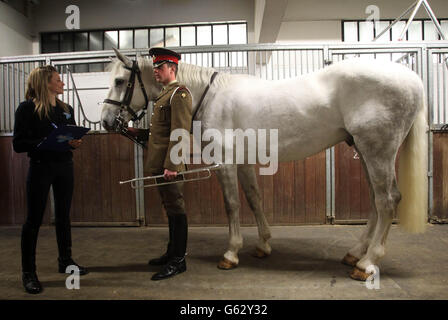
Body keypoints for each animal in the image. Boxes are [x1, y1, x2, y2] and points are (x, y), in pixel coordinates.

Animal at [100, 48, 428, 280]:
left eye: (119, 81)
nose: (106, 121)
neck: (210, 95)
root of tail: (412, 78)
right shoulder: (244, 162)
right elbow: (254, 199)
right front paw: (263, 245)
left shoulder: (224, 163)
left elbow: (232, 204)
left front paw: (231, 254)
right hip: (366, 150)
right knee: (375, 200)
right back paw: (355, 253)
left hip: (377, 150)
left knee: (387, 200)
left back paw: (367, 263)